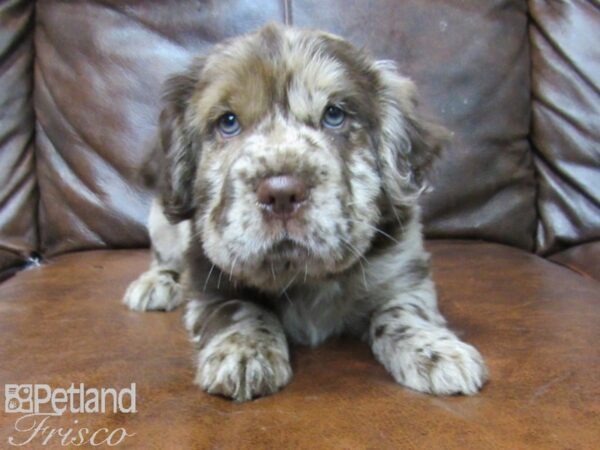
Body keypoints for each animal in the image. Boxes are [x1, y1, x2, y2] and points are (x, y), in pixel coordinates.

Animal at [123, 23, 488, 400]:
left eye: (334, 115)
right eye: (228, 122)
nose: (282, 193)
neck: (301, 274)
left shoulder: (403, 270)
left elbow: (404, 310)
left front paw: (435, 350)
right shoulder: (210, 276)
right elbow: (240, 308)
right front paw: (244, 351)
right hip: (161, 221)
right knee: (163, 258)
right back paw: (155, 283)